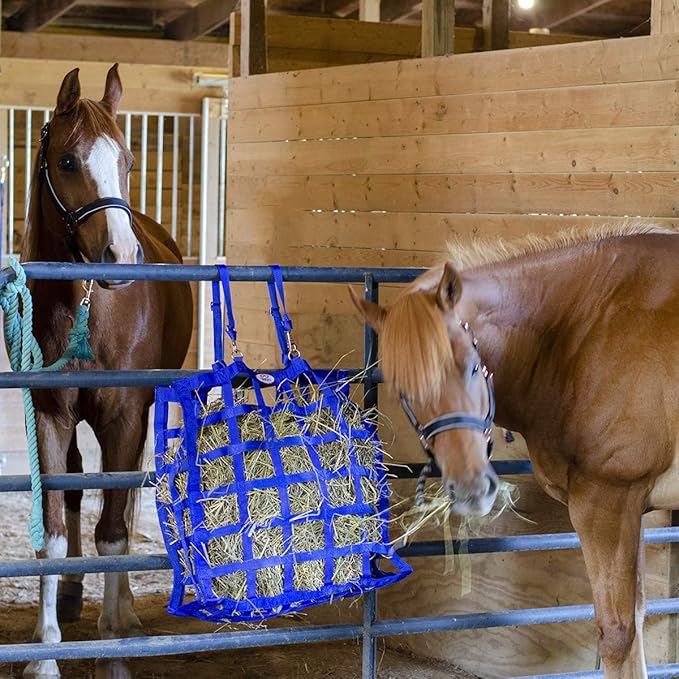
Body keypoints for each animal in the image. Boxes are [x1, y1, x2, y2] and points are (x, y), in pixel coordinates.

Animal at [18, 65, 193, 678]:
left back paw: (128, 613)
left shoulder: (125, 416)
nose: (120, 255)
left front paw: (115, 639)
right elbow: (53, 532)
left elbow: (114, 533)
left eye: (128, 161)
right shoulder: (49, 415)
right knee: (74, 493)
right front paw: (45, 653)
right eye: (68, 161)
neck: (87, 308)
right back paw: (71, 598)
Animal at [350, 223, 679, 678]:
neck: (586, 327)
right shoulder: (633, 508)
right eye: (403, 390)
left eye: (472, 365)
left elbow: (617, 635)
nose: (471, 489)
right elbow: (637, 622)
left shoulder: (606, 504)